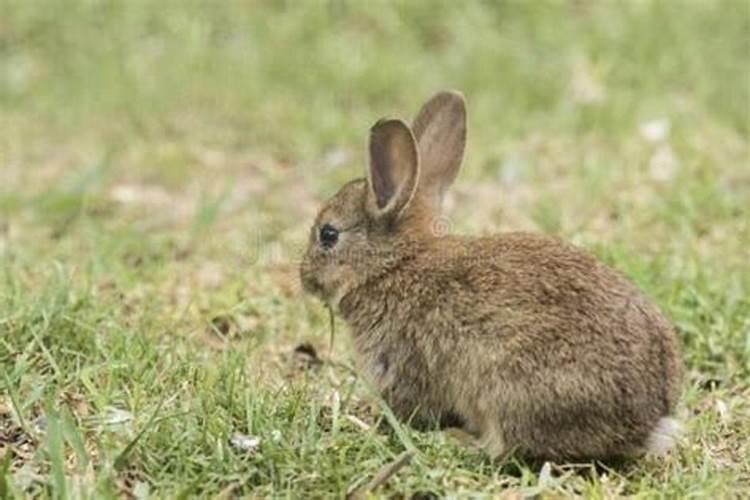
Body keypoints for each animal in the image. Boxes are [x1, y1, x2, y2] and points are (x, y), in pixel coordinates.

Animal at [298, 90, 680, 460]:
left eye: (328, 235)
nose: (304, 279)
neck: (394, 264)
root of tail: (645, 423)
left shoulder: (401, 362)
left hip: (509, 389)